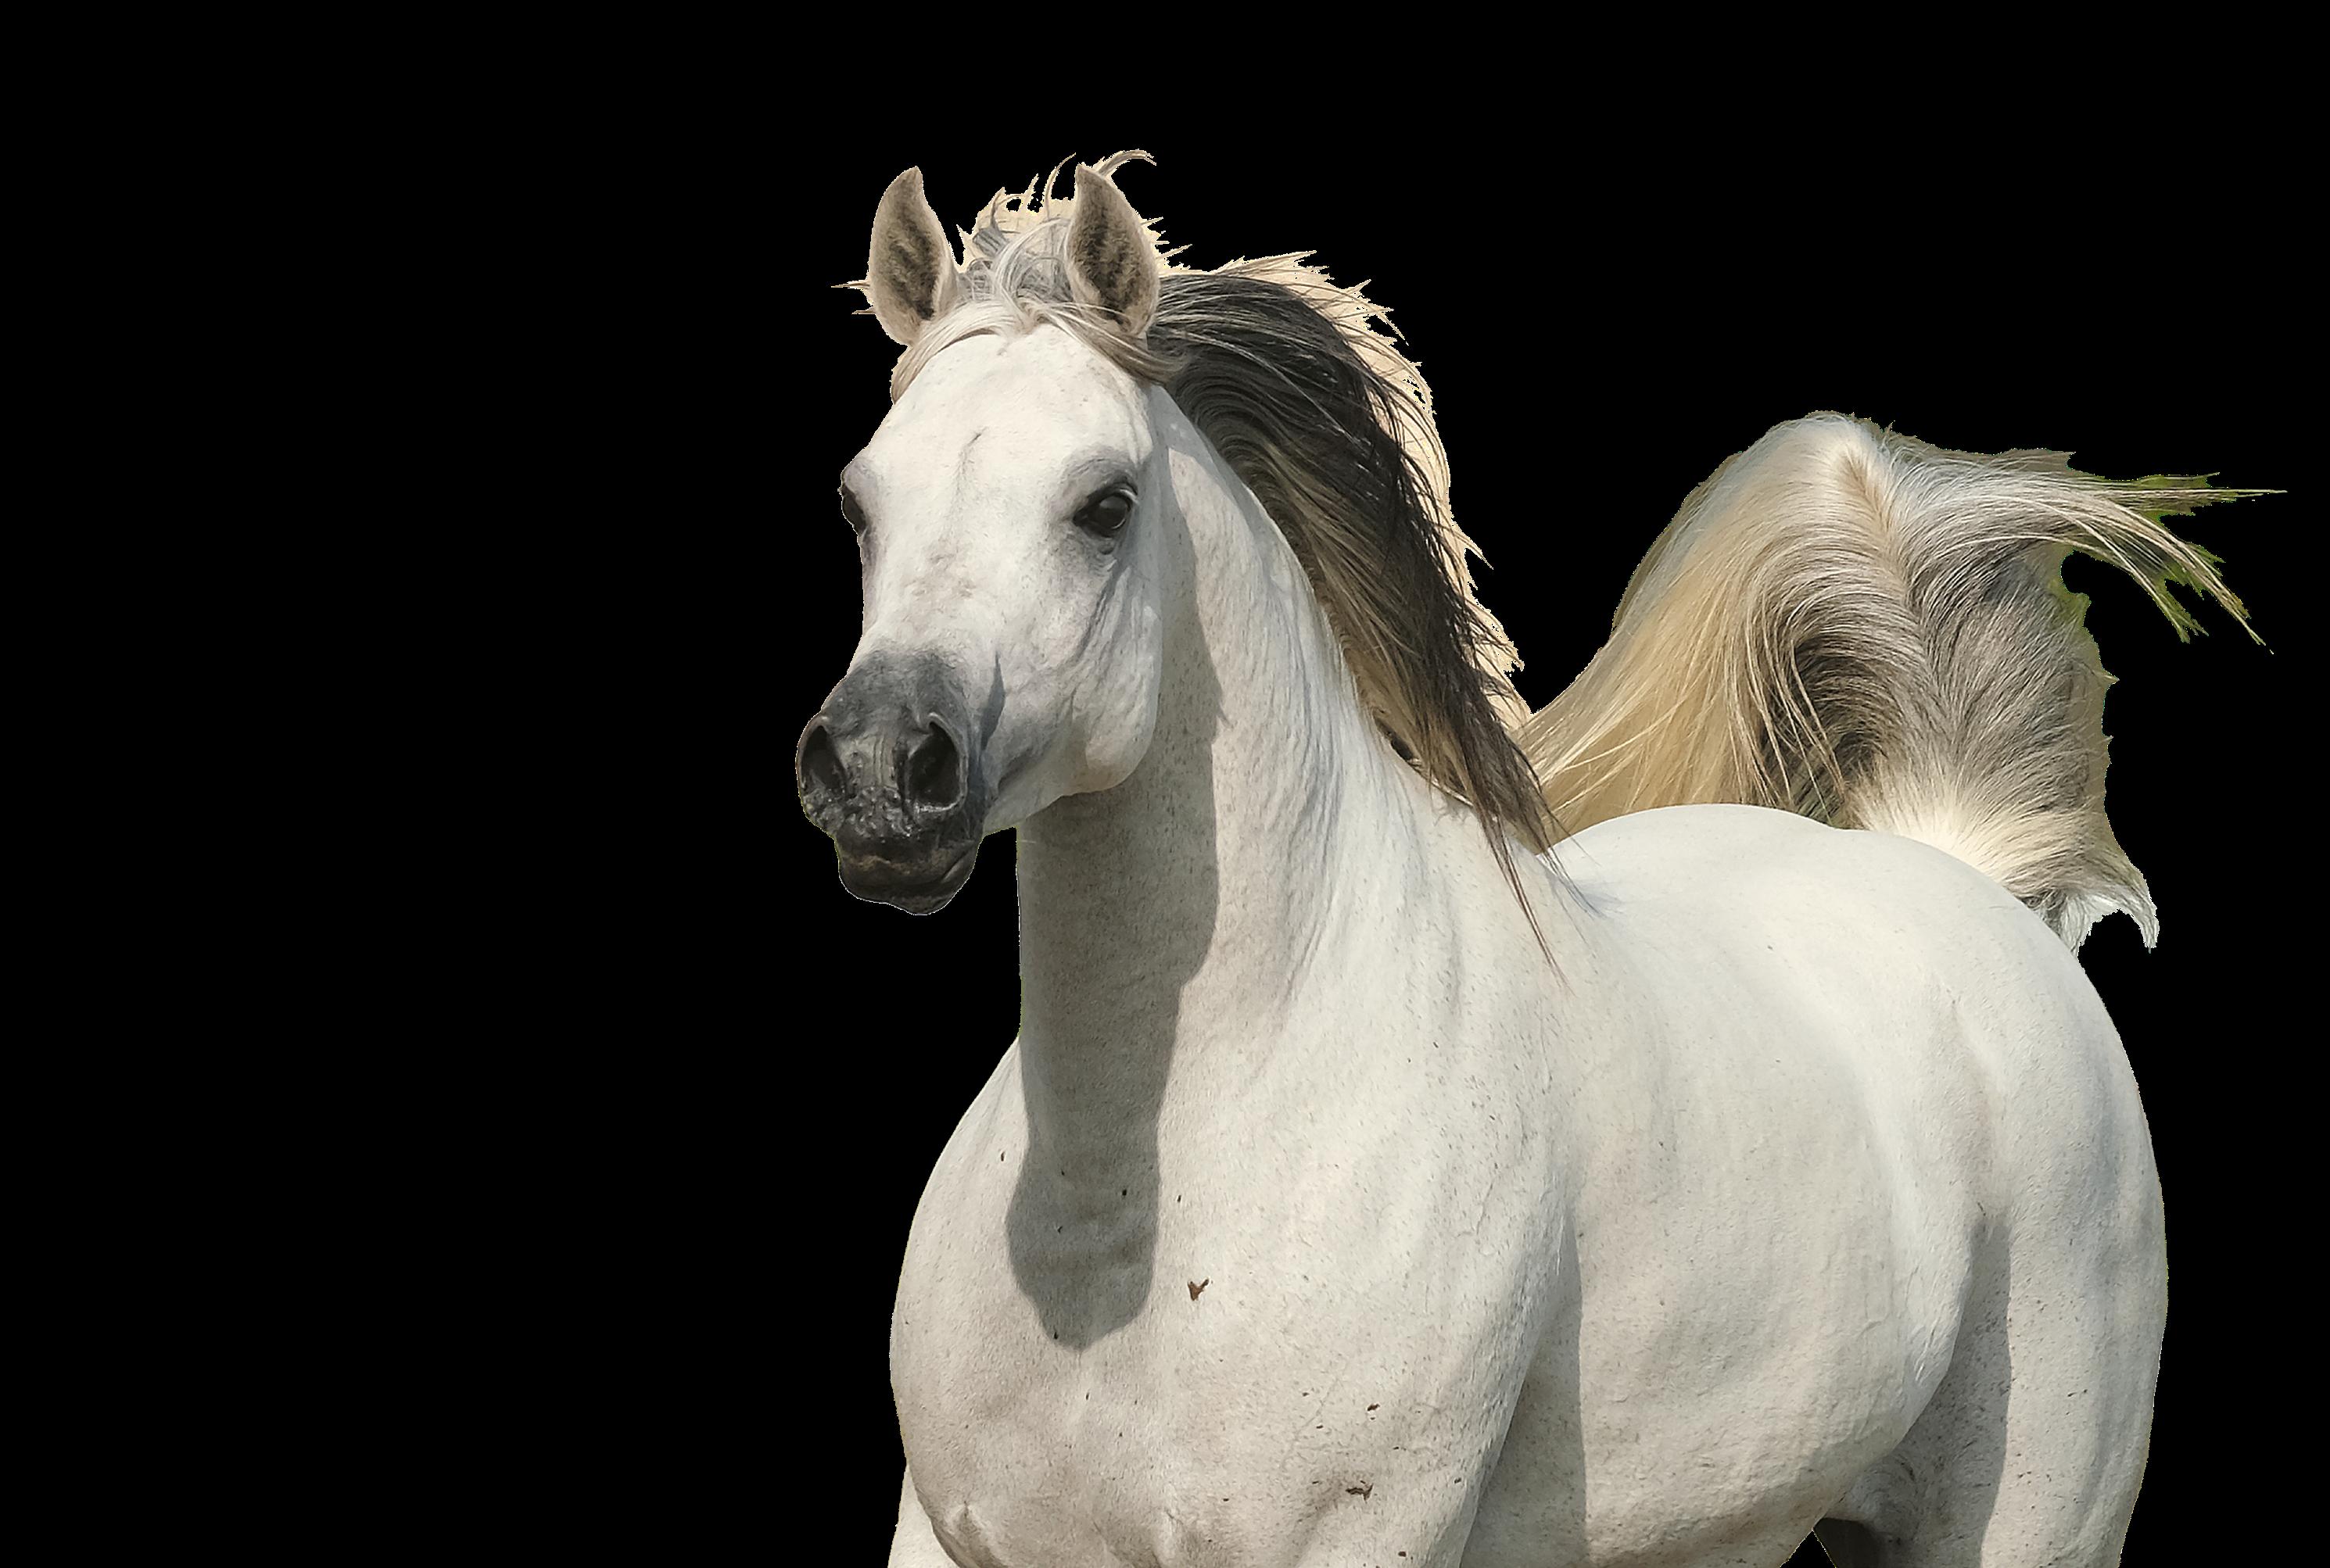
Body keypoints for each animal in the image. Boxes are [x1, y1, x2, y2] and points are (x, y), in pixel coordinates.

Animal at [793, 152, 2255, 1567]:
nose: (878, 775)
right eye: (860, 502)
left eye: (1103, 504)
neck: (1132, 1231)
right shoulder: (946, 1533)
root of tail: (1956, 870)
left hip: (2031, 1527)